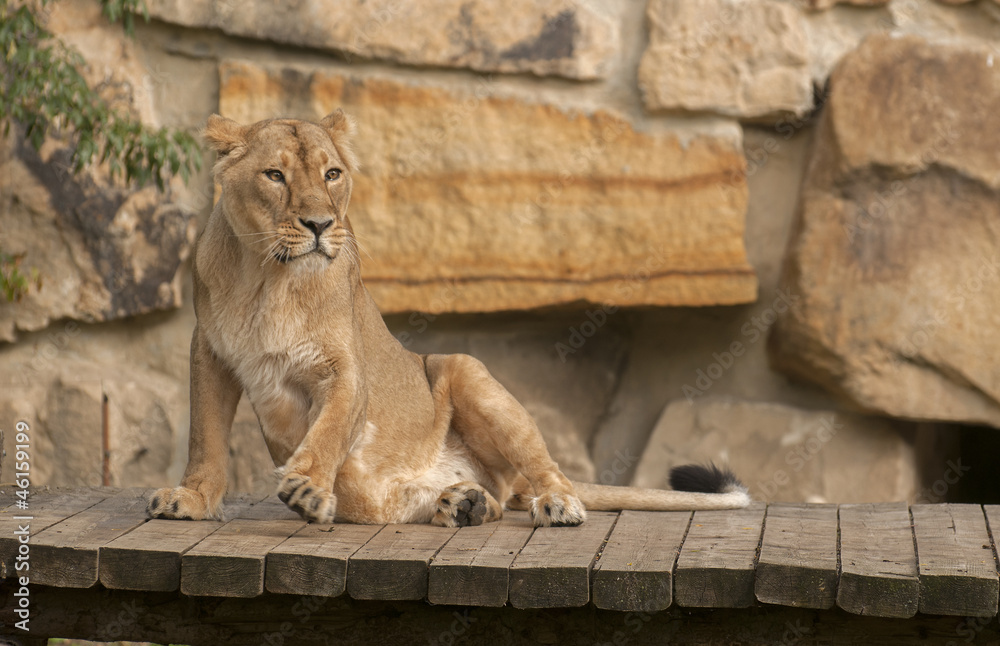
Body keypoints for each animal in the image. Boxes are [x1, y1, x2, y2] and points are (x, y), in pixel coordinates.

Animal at [146, 110, 750, 528]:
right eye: (275, 175)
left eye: (332, 174)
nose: (320, 225)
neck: (266, 281)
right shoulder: (210, 352)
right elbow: (205, 435)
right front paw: (191, 498)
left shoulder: (344, 367)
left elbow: (330, 428)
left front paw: (310, 488)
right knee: (467, 501)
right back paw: (460, 502)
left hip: (465, 369)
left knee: (542, 473)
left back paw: (554, 504)